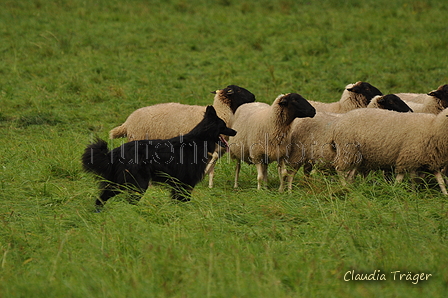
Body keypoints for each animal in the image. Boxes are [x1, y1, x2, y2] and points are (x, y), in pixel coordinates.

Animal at [108, 84, 256, 186]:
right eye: (238, 90)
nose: (254, 97)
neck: (221, 112)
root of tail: (127, 122)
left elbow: (212, 164)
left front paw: (209, 184)